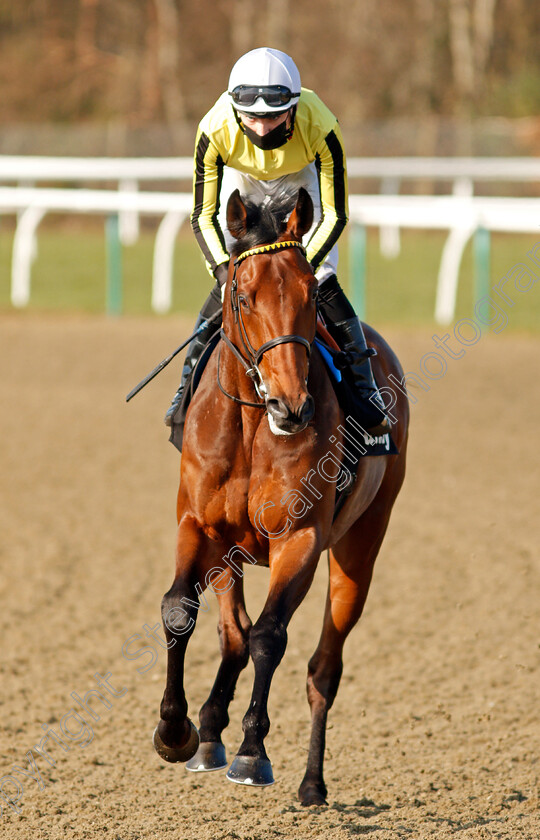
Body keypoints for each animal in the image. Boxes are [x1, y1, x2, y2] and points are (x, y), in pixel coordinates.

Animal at [152, 187, 410, 804]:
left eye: (311, 295)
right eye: (243, 298)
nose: (291, 406)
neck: (252, 424)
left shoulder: (301, 538)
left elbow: (270, 637)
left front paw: (252, 750)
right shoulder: (198, 524)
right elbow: (181, 610)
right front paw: (176, 730)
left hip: (360, 547)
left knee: (323, 668)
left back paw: (312, 784)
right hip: (231, 550)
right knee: (232, 633)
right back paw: (209, 732)